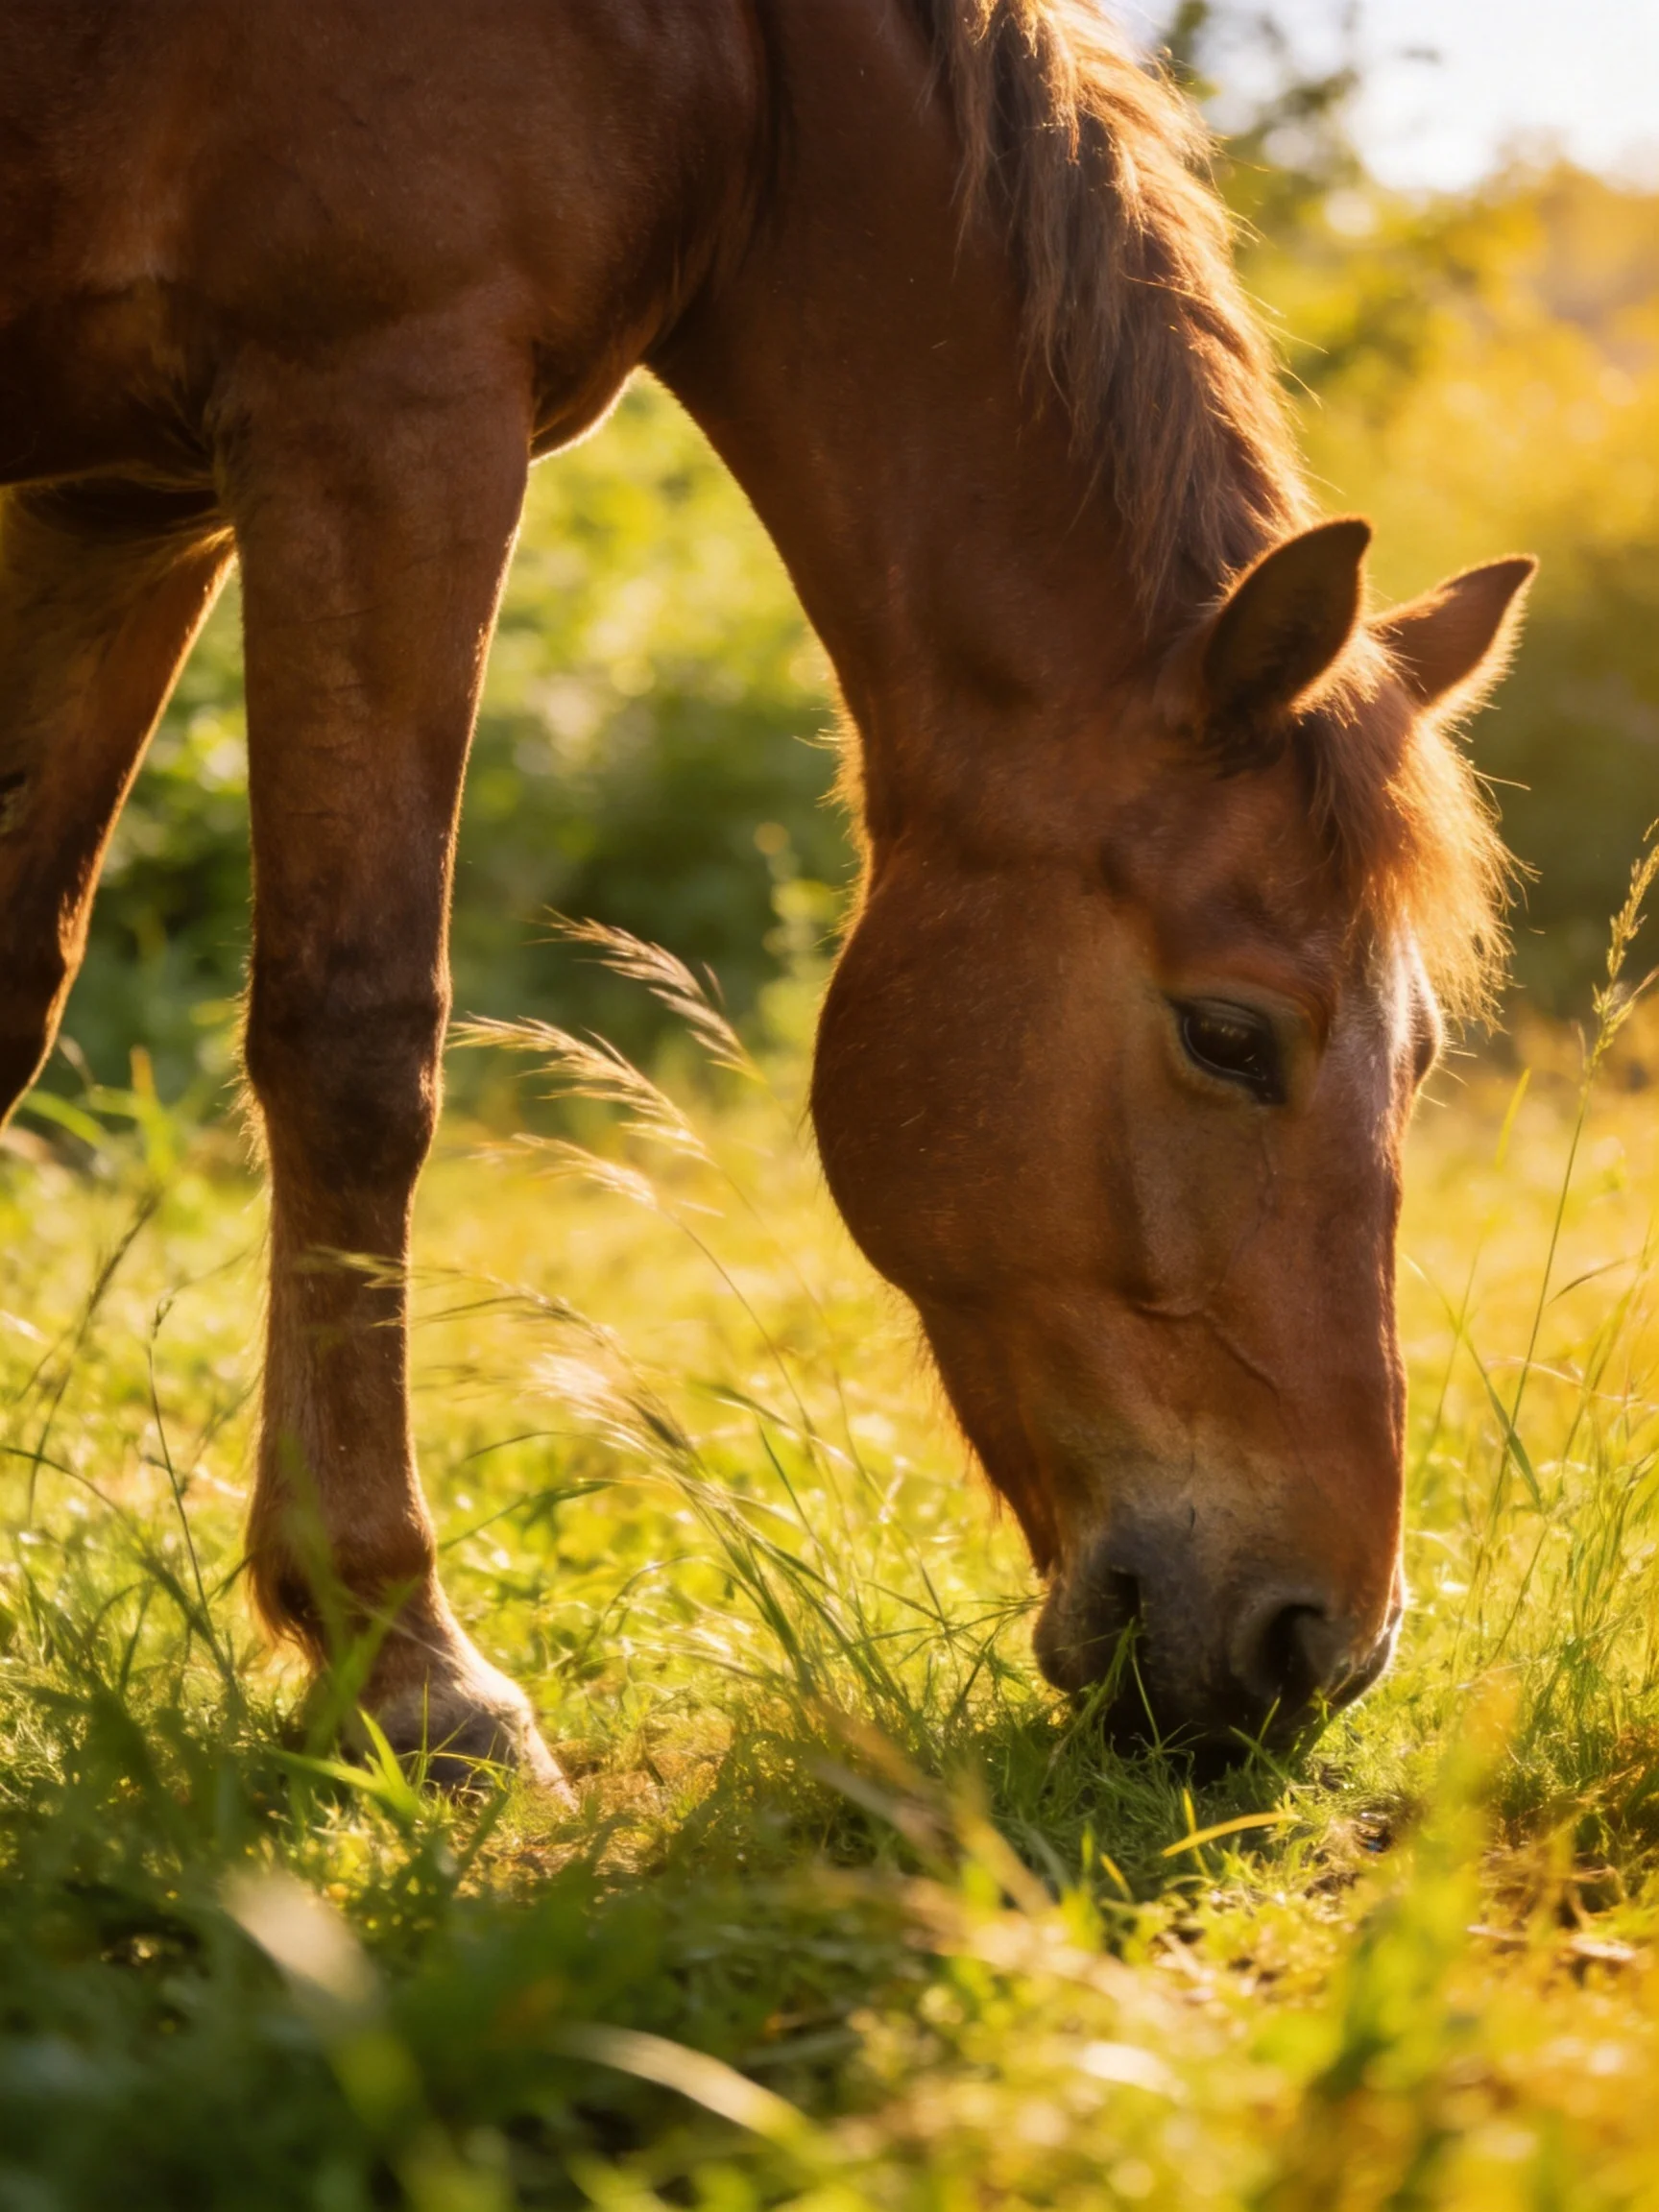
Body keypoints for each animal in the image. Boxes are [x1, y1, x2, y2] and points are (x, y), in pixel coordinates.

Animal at [0, 0, 1534, 1789]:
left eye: (1421, 1055)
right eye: (1229, 1036)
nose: (1324, 1648)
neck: (733, 69)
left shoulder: (123, 494)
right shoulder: (382, 398)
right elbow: (357, 1045)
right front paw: (409, 1665)